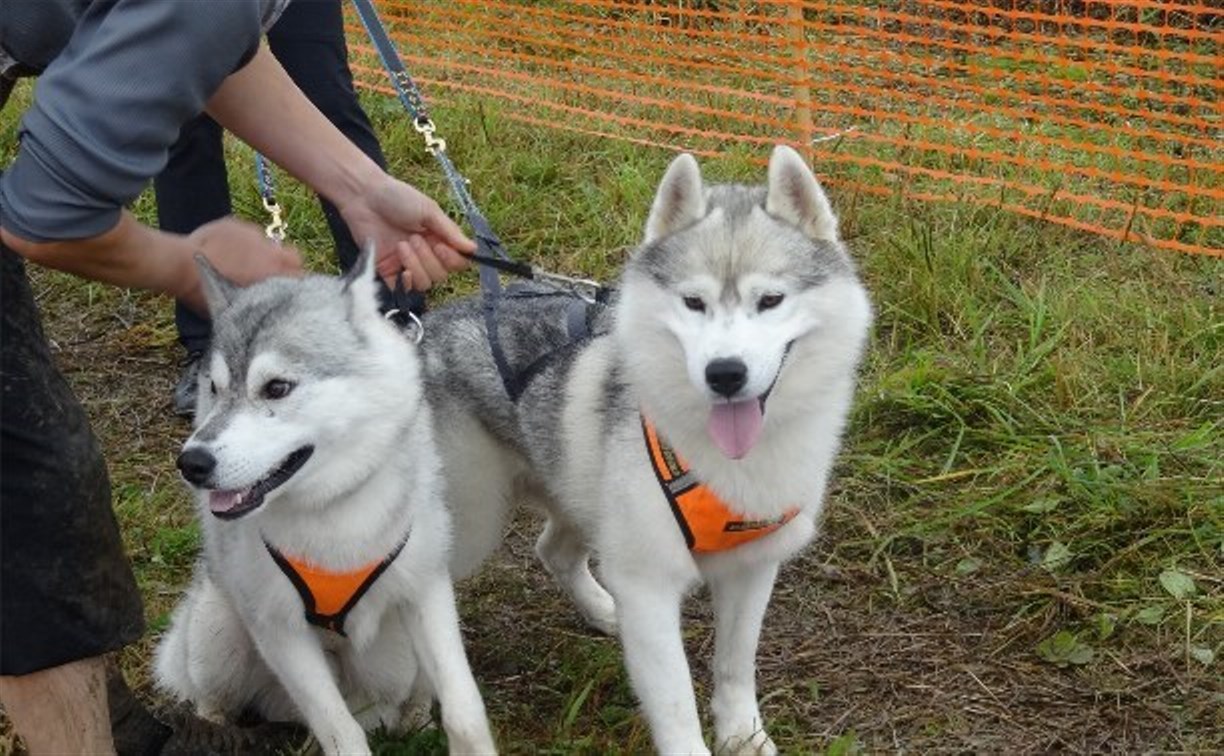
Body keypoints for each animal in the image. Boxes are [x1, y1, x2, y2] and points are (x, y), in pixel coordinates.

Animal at [154, 248, 496, 753]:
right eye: (213, 388)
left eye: (276, 387)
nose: (191, 463)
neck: (334, 508)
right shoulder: (279, 629)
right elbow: (340, 731)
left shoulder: (426, 589)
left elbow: (465, 710)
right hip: (218, 631)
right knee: (213, 697)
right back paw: (206, 731)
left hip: (400, 657)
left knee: (410, 697)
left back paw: (414, 718)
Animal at [425, 144, 876, 748]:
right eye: (693, 302)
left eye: (771, 300)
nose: (725, 373)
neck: (723, 462)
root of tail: (418, 330)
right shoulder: (649, 586)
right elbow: (677, 705)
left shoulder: (751, 569)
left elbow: (735, 665)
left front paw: (742, 736)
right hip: (473, 522)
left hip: (579, 487)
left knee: (553, 549)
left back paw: (600, 610)